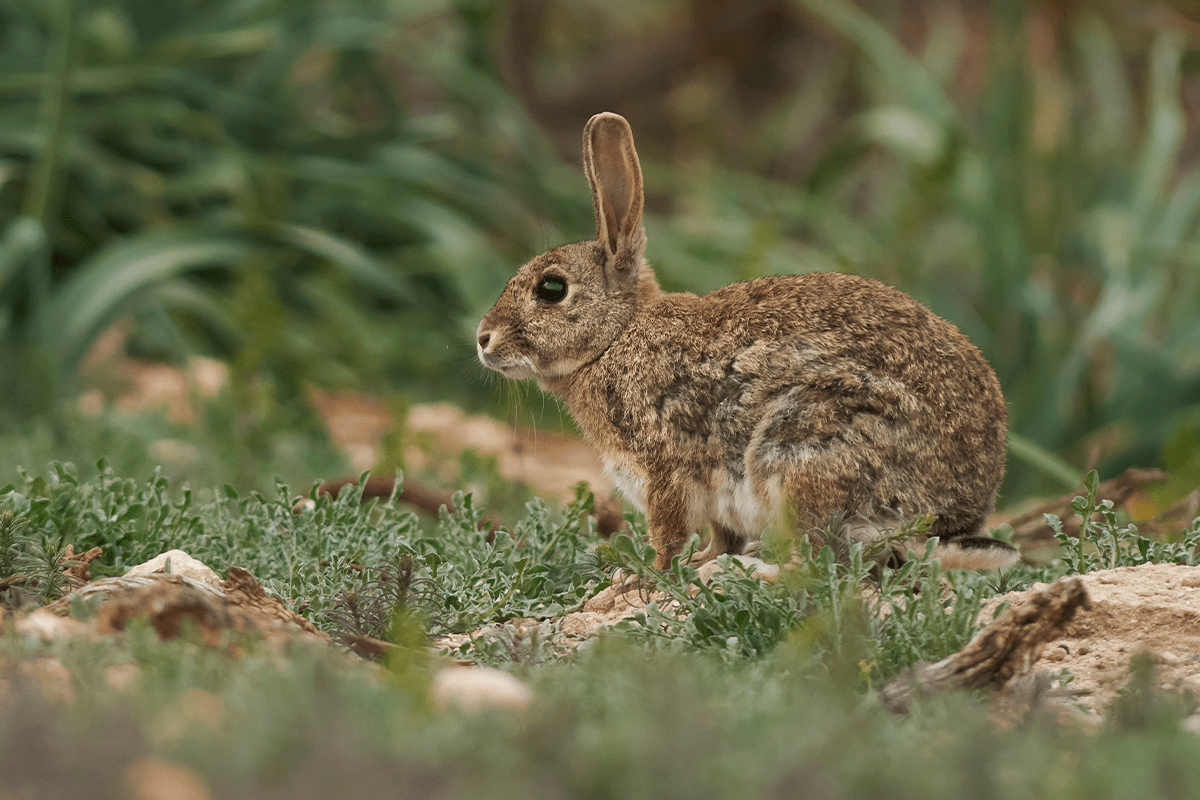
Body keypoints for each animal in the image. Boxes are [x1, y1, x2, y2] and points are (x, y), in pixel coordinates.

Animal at [472, 113, 1017, 575]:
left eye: (551, 289)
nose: (482, 339)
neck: (617, 336)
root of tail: (945, 520)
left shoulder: (665, 468)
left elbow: (667, 534)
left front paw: (645, 577)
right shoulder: (713, 498)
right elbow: (720, 534)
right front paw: (702, 561)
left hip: (803, 451)